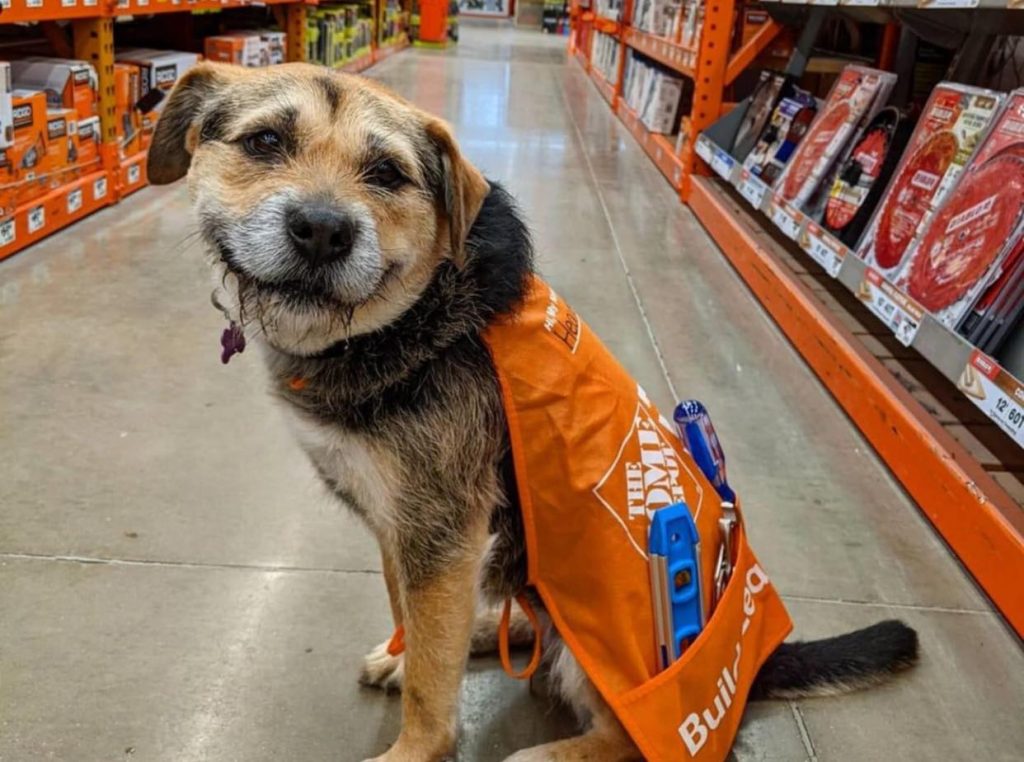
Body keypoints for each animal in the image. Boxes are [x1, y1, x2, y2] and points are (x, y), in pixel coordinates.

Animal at [149, 64, 921, 762]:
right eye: (265, 142)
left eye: (388, 174)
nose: (321, 230)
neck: (412, 321)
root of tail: (755, 664)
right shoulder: (407, 530)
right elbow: (414, 622)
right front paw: (409, 655)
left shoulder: (441, 532)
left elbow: (432, 686)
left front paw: (415, 746)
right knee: (520, 624)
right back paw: (489, 630)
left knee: (621, 735)